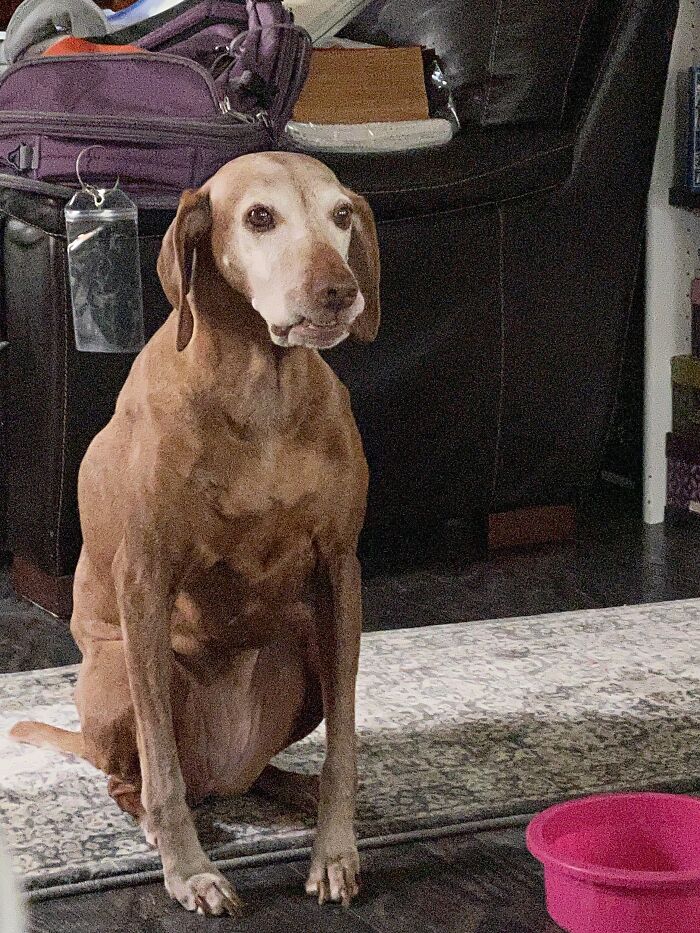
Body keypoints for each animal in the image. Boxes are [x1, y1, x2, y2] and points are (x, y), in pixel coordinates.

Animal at [8, 149, 380, 912]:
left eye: (341, 214)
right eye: (259, 216)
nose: (340, 291)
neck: (262, 389)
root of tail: (225, 774)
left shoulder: (340, 573)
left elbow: (346, 743)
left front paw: (335, 849)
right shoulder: (146, 583)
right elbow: (161, 765)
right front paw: (189, 871)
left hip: (305, 653)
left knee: (265, 768)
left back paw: (291, 786)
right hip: (119, 679)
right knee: (138, 777)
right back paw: (155, 824)